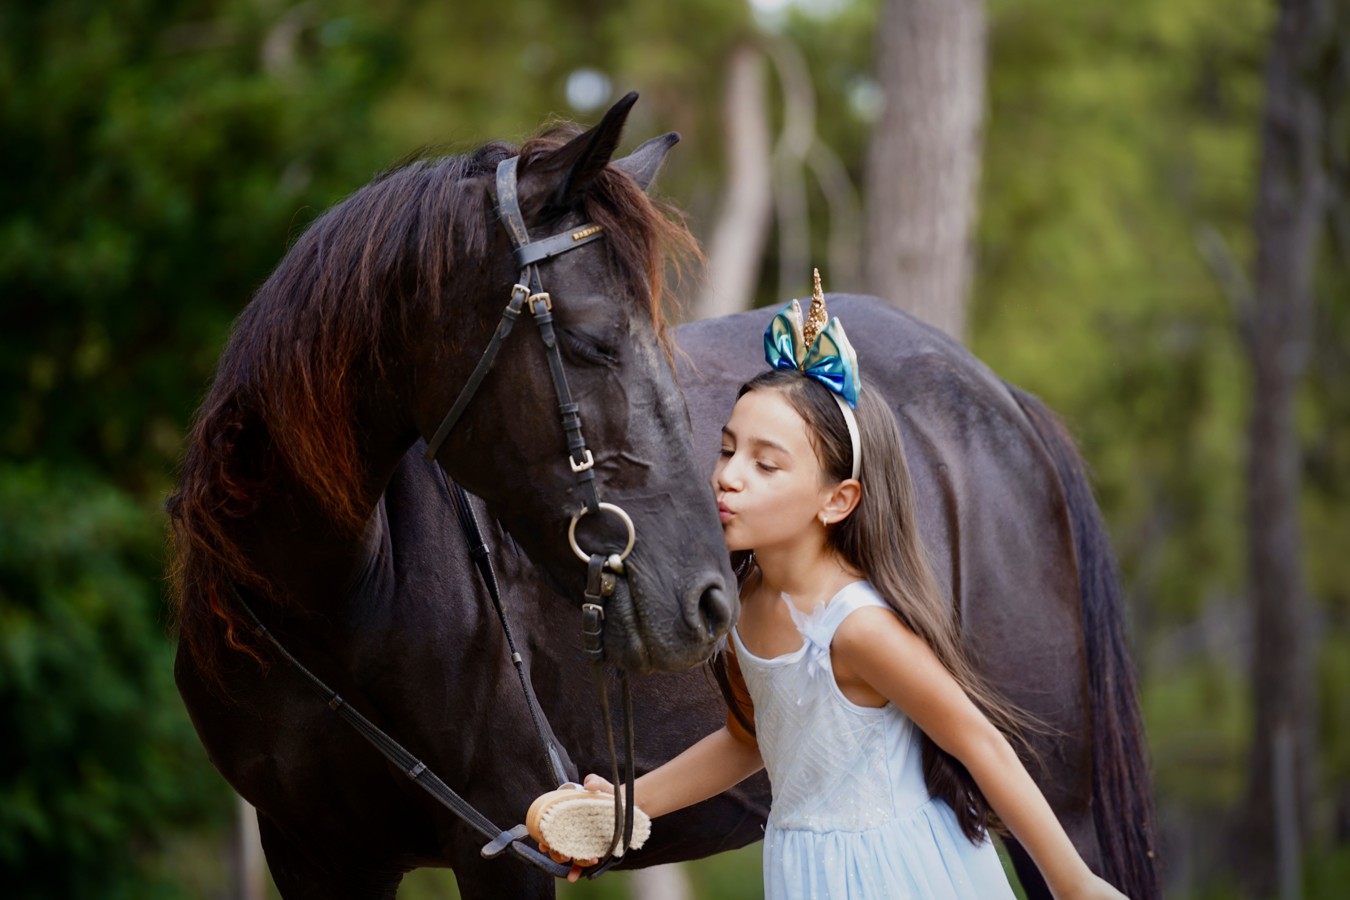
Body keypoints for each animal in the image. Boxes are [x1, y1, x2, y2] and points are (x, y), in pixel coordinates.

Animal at [166, 95, 1161, 895]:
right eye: (596, 339)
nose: (710, 598)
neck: (337, 603)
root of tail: (1001, 400)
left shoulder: (499, 846)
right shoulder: (316, 858)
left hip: (1053, 794)